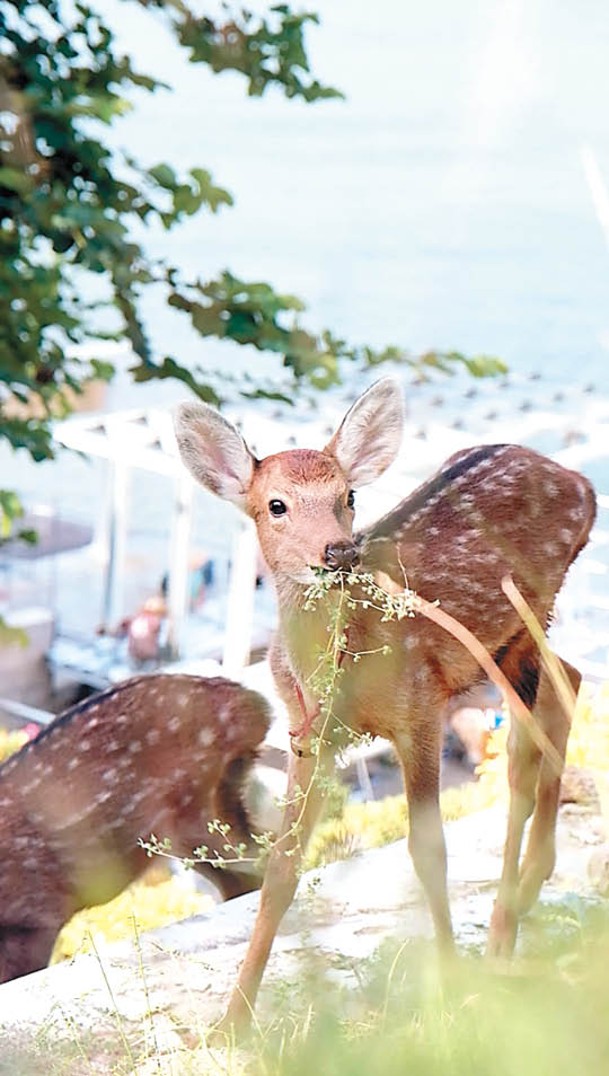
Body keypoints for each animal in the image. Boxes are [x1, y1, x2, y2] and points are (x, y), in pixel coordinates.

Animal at [175, 376, 598, 1032]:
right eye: (276, 505)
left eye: (348, 495)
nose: (338, 551)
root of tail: (582, 482)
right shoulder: (307, 734)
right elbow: (282, 866)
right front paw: (229, 1025)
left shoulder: (419, 708)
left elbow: (428, 850)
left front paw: (449, 990)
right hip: (506, 641)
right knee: (568, 682)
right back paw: (525, 894)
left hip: (522, 617)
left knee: (523, 751)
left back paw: (504, 931)